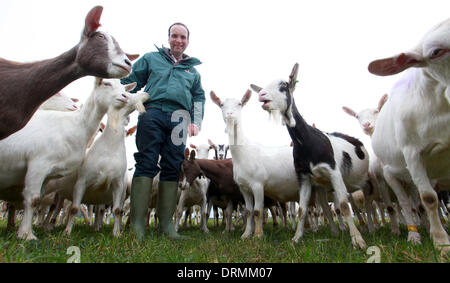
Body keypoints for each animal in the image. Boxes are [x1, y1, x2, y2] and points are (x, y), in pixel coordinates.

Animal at [0, 79, 135, 241]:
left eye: (125, 89)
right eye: (106, 83)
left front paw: (116, 233)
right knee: (55, 208)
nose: (125, 97)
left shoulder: (117, 185)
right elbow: (60, 206)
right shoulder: (45, 167)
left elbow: (116, 210)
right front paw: (29, 234)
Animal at [370, 18, 450, 256]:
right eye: (436, 52)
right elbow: (429, 199)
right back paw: (414, 235)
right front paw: (442, 244)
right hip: (391, 175)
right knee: (405, 204)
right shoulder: (413, 154)